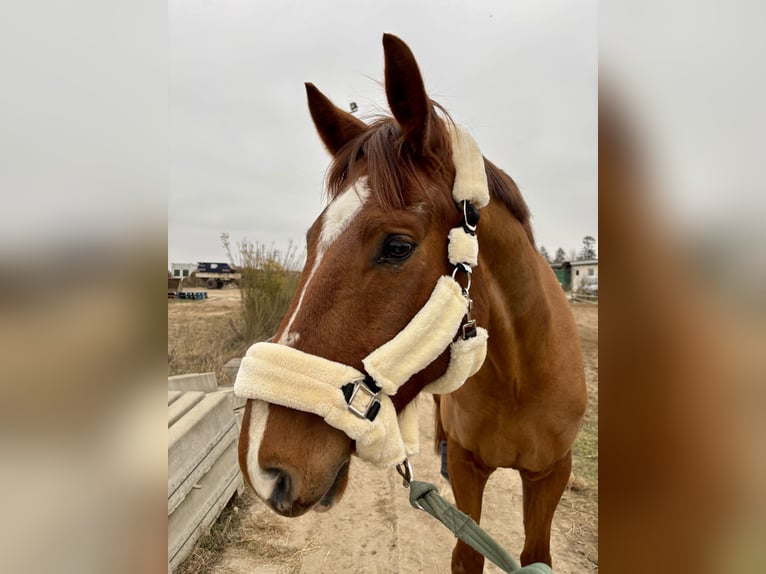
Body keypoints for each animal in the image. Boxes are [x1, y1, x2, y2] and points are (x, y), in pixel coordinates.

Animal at [235, 34, 587, 572]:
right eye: (312, 238)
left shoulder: (551, 475)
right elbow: (466, 554)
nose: (263, 466)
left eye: (398, 246)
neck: (519, 379)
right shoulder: (468, 469)